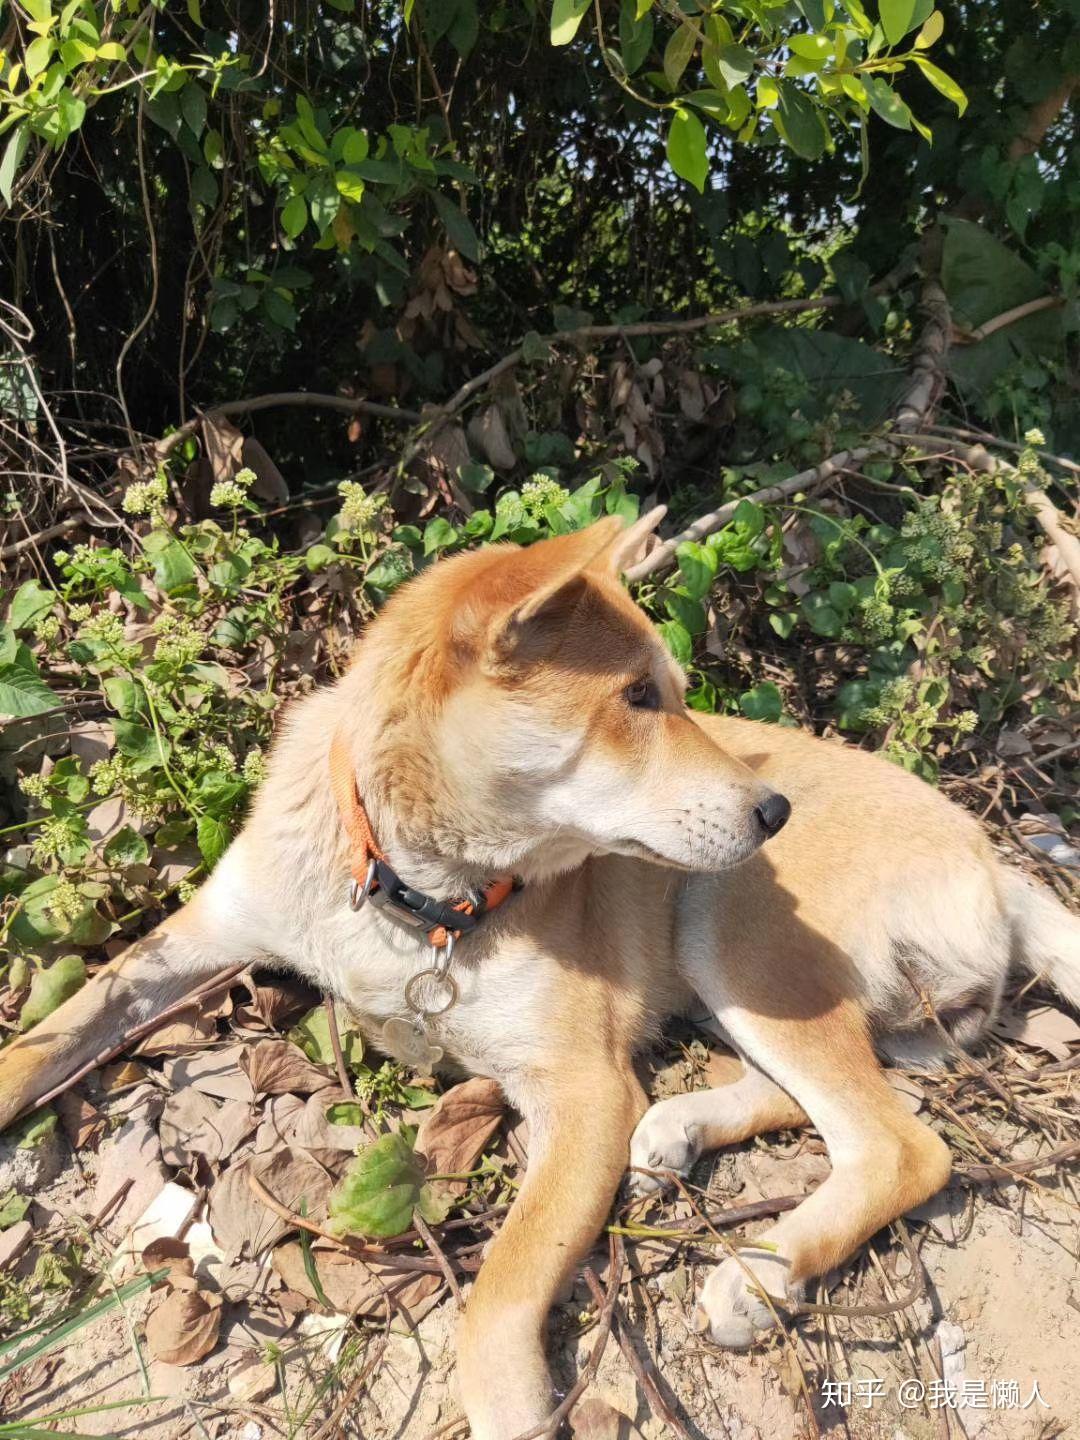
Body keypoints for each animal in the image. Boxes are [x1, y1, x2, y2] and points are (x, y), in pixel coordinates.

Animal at [2, 512, 1080, 1434]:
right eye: (639, 697)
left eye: (675, 693)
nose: (774, 811)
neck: (415, 896)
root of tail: (992, 858)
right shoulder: (190, 942)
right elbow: (42, 1043)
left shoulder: (583, 1091)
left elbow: (500, 1293)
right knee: (825, 1095)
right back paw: (678, 1135)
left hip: (730, 925)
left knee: (898, 1146)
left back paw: (762, 1271)